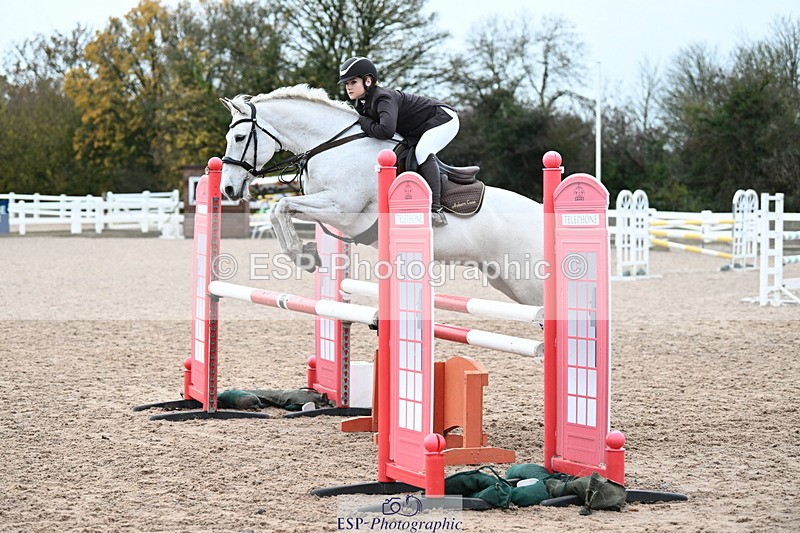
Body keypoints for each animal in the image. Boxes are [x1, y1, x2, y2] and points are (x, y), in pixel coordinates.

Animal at [219, 85, 544, 305]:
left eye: (239, 137)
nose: (228, 189)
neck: (334, 145)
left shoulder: (342, 208)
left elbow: (281, 205)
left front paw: (303, 254)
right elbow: (280, 209)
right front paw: (306, 254)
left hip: (529, 284)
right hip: (505, 281)